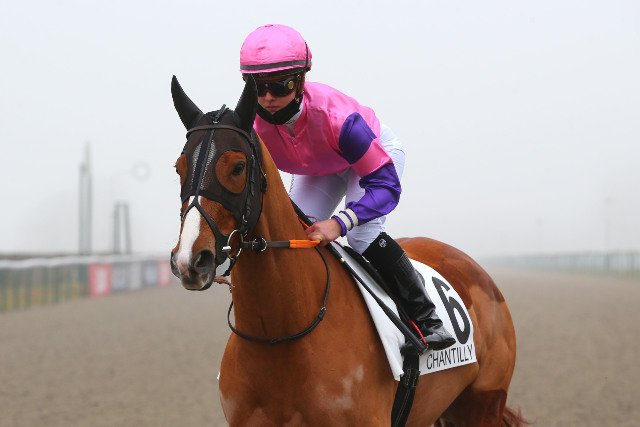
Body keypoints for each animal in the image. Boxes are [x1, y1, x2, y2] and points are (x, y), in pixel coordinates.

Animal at [169, 75, 525, 426]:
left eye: (238, 167)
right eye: (179, 167)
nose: (191, 259)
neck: (279, 336)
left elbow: (383, 184)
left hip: (482, 405)